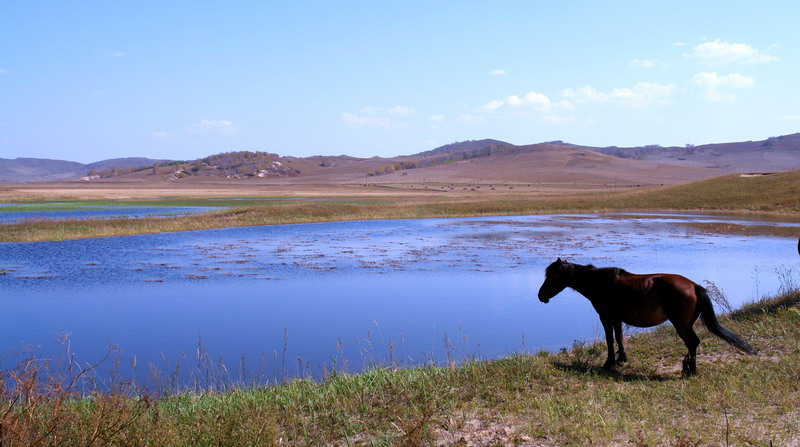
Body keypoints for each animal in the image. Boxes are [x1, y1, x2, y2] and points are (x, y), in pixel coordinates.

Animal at [536, 260, 756, 378]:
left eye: (552, 277)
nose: (541, 296)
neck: (601, 283)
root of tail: (694, 286)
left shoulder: (606, 317)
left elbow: (609, 340)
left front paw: (609, 363)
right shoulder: (617, 318)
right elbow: (619, 338)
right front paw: (621, 359)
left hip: (681, 324)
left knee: (692, 342)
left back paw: (690, 370)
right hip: (686, 324)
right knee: (692, 343)